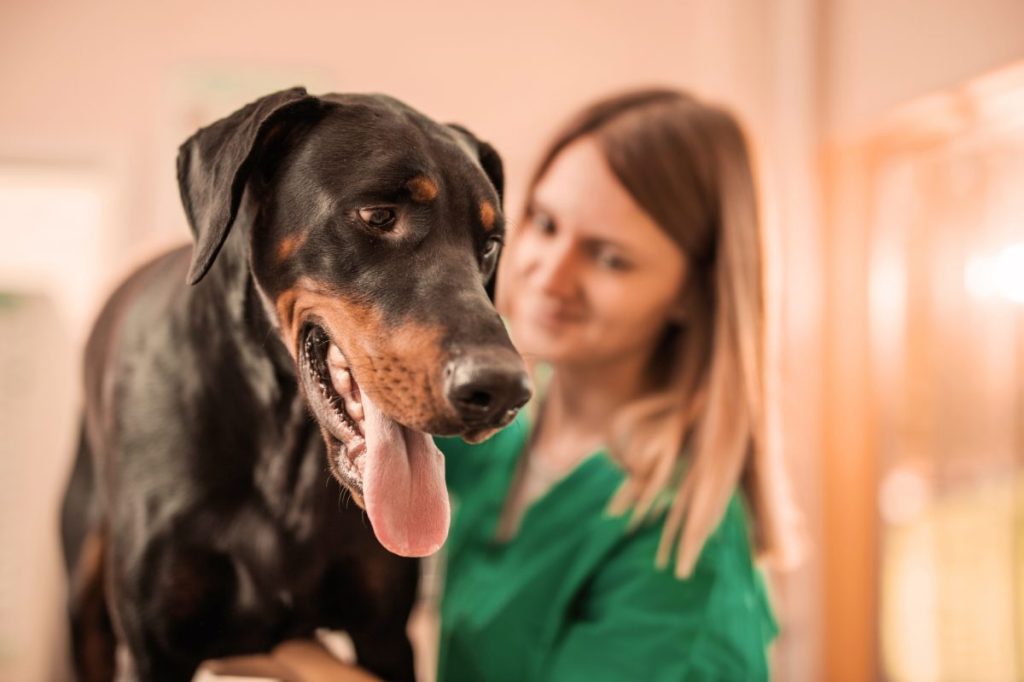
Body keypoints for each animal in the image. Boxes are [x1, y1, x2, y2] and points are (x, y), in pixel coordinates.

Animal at [59, 89, 532, 679]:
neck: (283, 447)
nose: (502, 392)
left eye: (489, 244)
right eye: (379, 215)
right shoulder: (155, 648)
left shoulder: (384, 635)